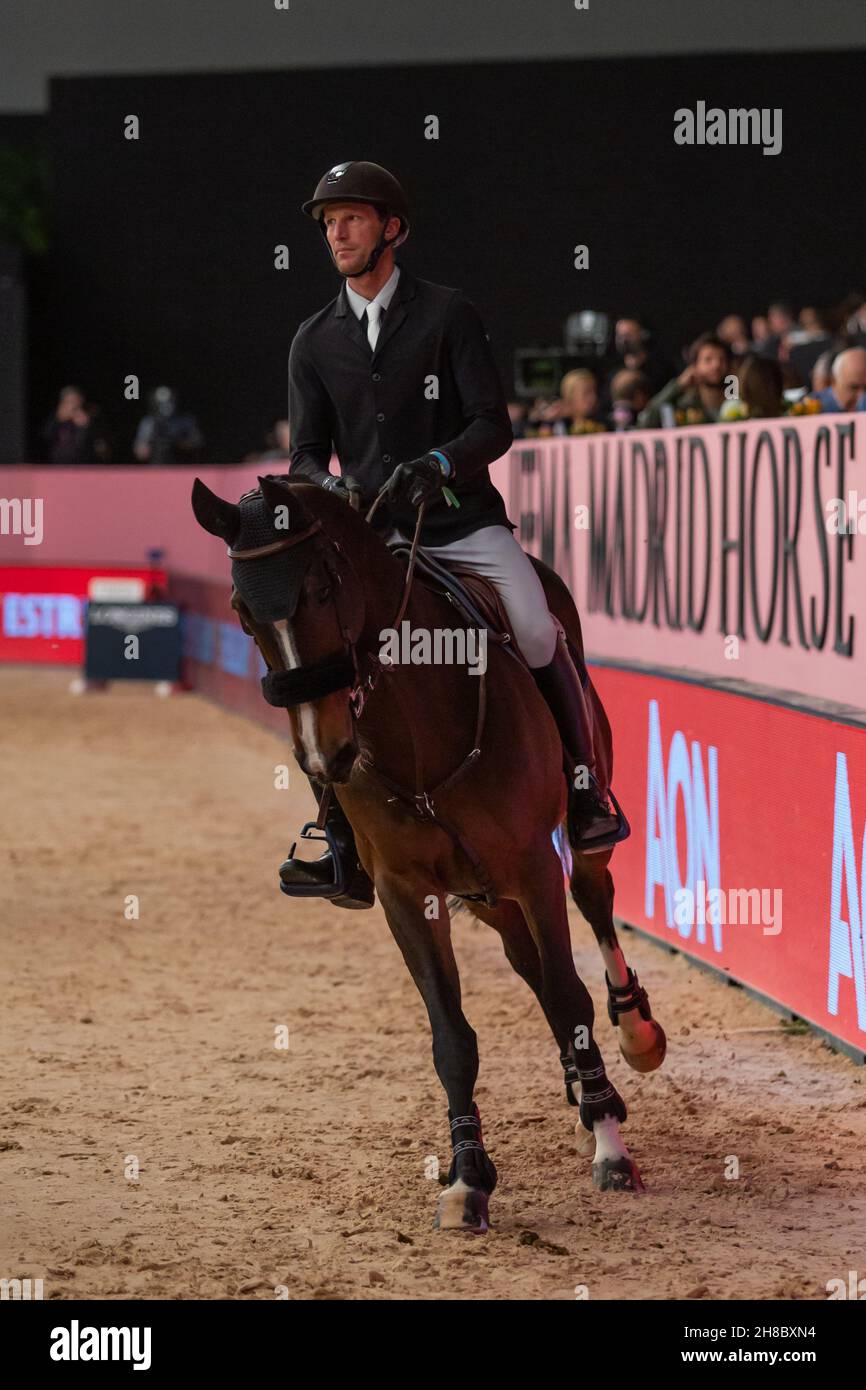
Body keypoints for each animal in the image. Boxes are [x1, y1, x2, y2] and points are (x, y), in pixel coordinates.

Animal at [191, 475, 664, 1228]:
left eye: (322, 587)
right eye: (241, 611)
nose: (325, 754)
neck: (418, 724)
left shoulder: (534, 866)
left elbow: (570, 999)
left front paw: (611, 1150)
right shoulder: (406, 891)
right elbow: (453, 1037)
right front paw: (468, 1176)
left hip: (565, 844)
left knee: (593, 909)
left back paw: (632, 1040)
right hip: (486, 891)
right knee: (530, 965)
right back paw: (585, 1092)